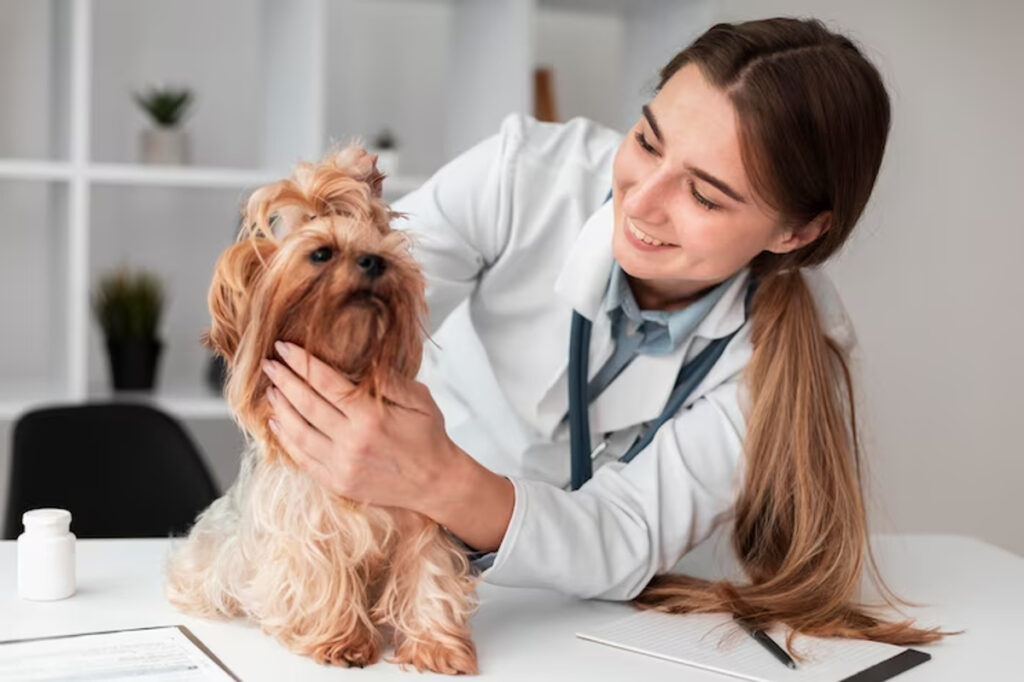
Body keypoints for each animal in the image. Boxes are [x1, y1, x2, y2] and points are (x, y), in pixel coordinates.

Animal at [165, 146, 481, 671]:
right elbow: (320, 570)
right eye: (321, 254)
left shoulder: (421, 502)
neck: (348, 364)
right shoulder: (305, 523)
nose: (375, 261)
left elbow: (429, 572)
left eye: (383, 246)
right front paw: (343, 641)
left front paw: (437, 645)